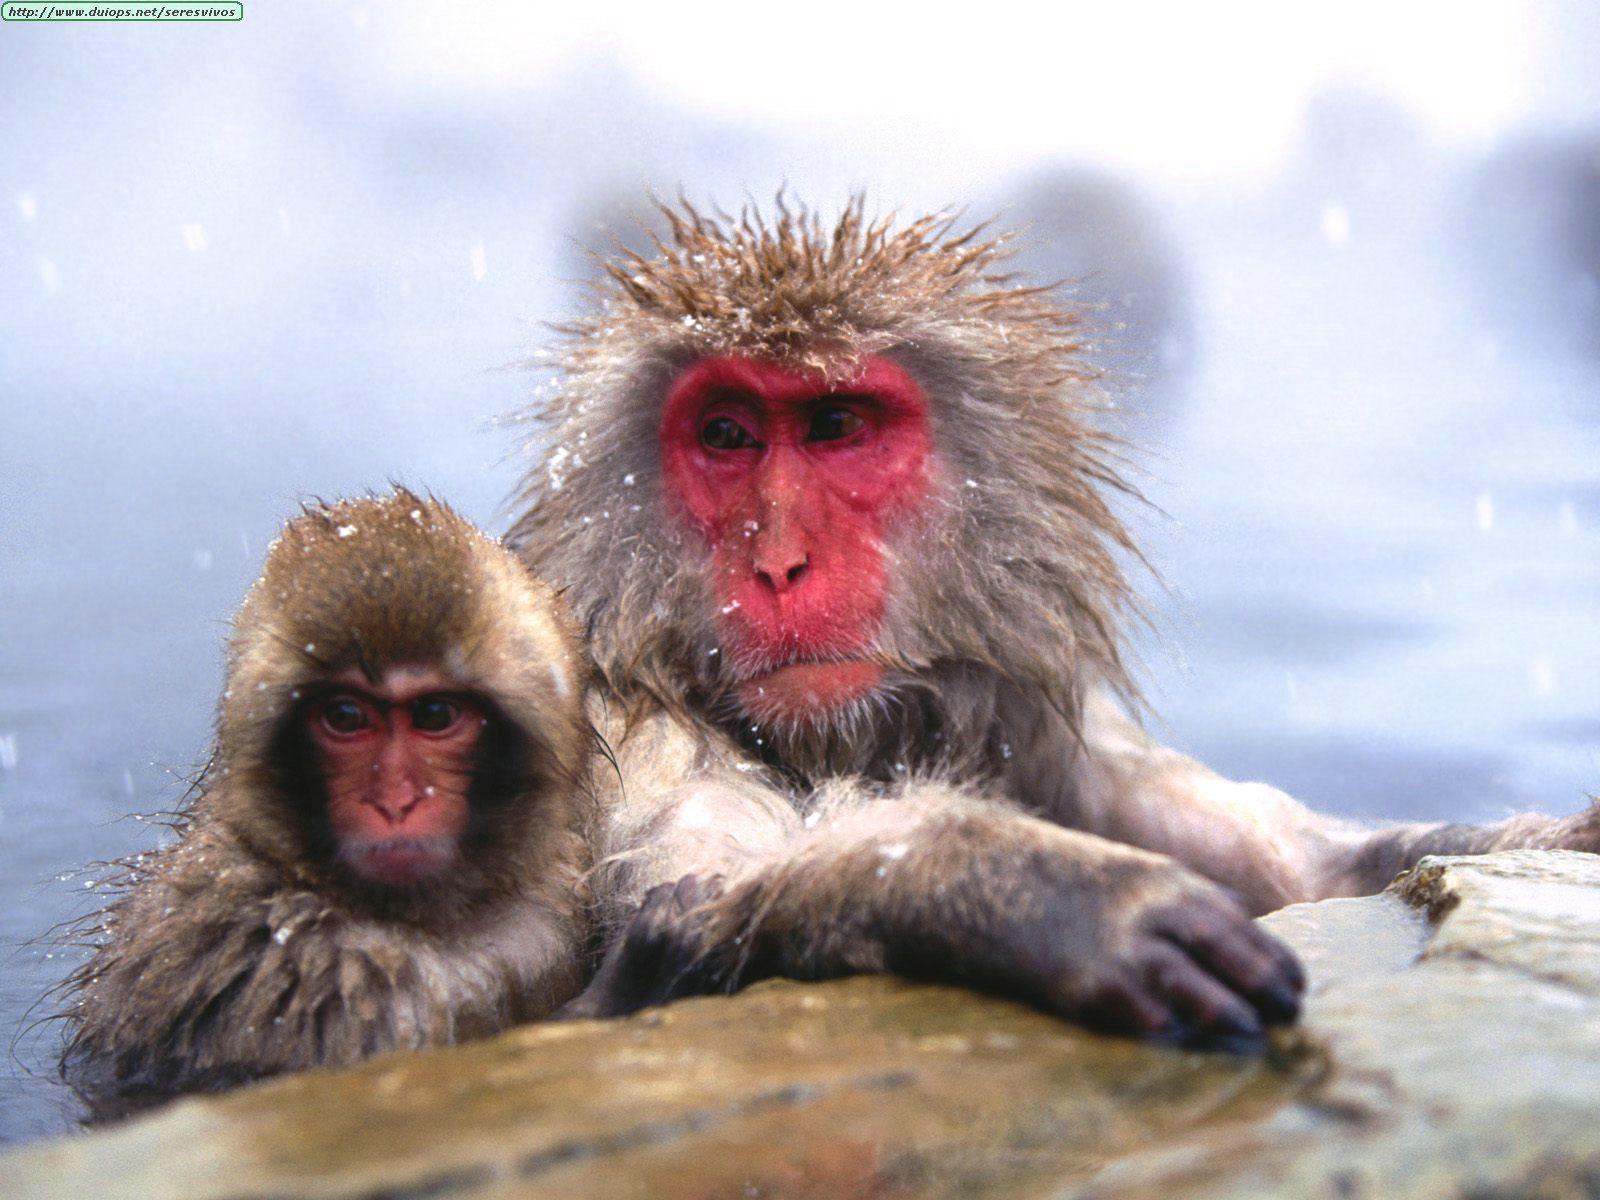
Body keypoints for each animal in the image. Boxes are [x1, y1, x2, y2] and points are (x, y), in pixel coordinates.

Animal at [506, 198, 1600, 1047]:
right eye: (728, 434)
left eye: (835, 426)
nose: (777, 563)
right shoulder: (643, 735)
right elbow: (693, 907)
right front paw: (1038, 895)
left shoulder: (1053, 740)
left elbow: (1302, 866)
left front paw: (1550, 834)